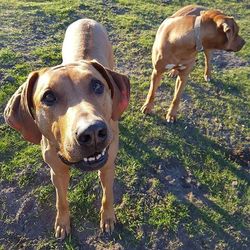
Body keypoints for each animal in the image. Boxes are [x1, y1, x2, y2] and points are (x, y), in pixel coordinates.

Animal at [4, 19, 131, 238]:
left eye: (97, 85)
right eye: (48, 97)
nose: (93, 132)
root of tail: (86, 19)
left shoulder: (107, 166)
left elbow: (108, 194)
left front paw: (108, 218)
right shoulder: (57, 172)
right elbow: (61, 200)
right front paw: (63, 223)